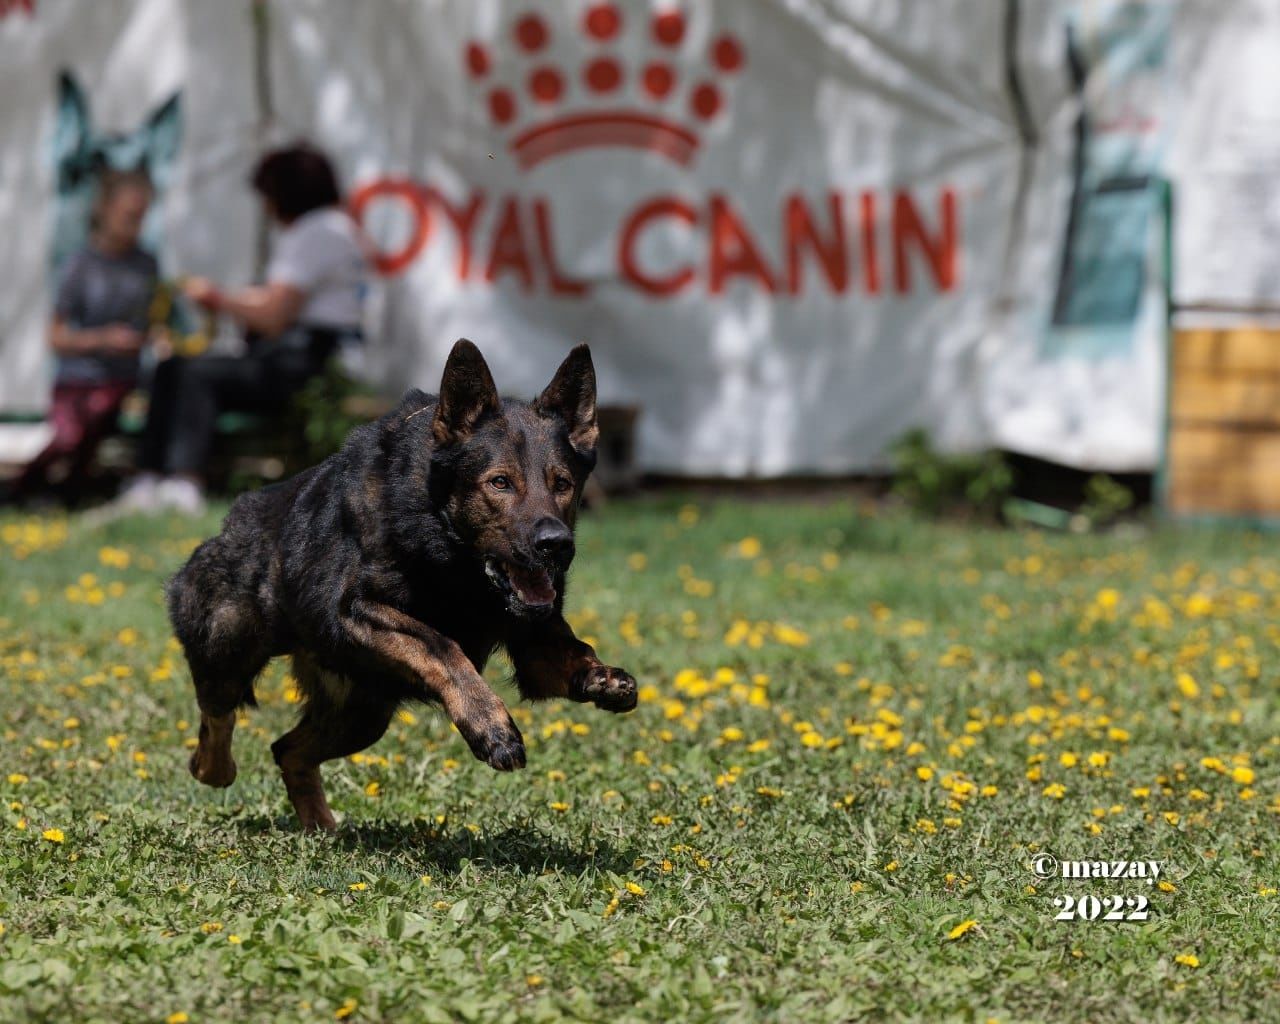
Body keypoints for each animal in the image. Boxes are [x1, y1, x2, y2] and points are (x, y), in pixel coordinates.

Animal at [167, 340, 637, 829]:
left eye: (562, 484)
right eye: (500, 483)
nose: (555, 545)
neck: (450, 553)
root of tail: (228, 525)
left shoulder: (534, 646)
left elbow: (571, 649)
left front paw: (600, 676)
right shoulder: (357, 611)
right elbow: (442, 645)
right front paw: (491, 727)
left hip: (361, 714)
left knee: (288, 750)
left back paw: (322, 828)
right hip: (228, 652)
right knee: (218, 719)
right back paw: (215, 769)